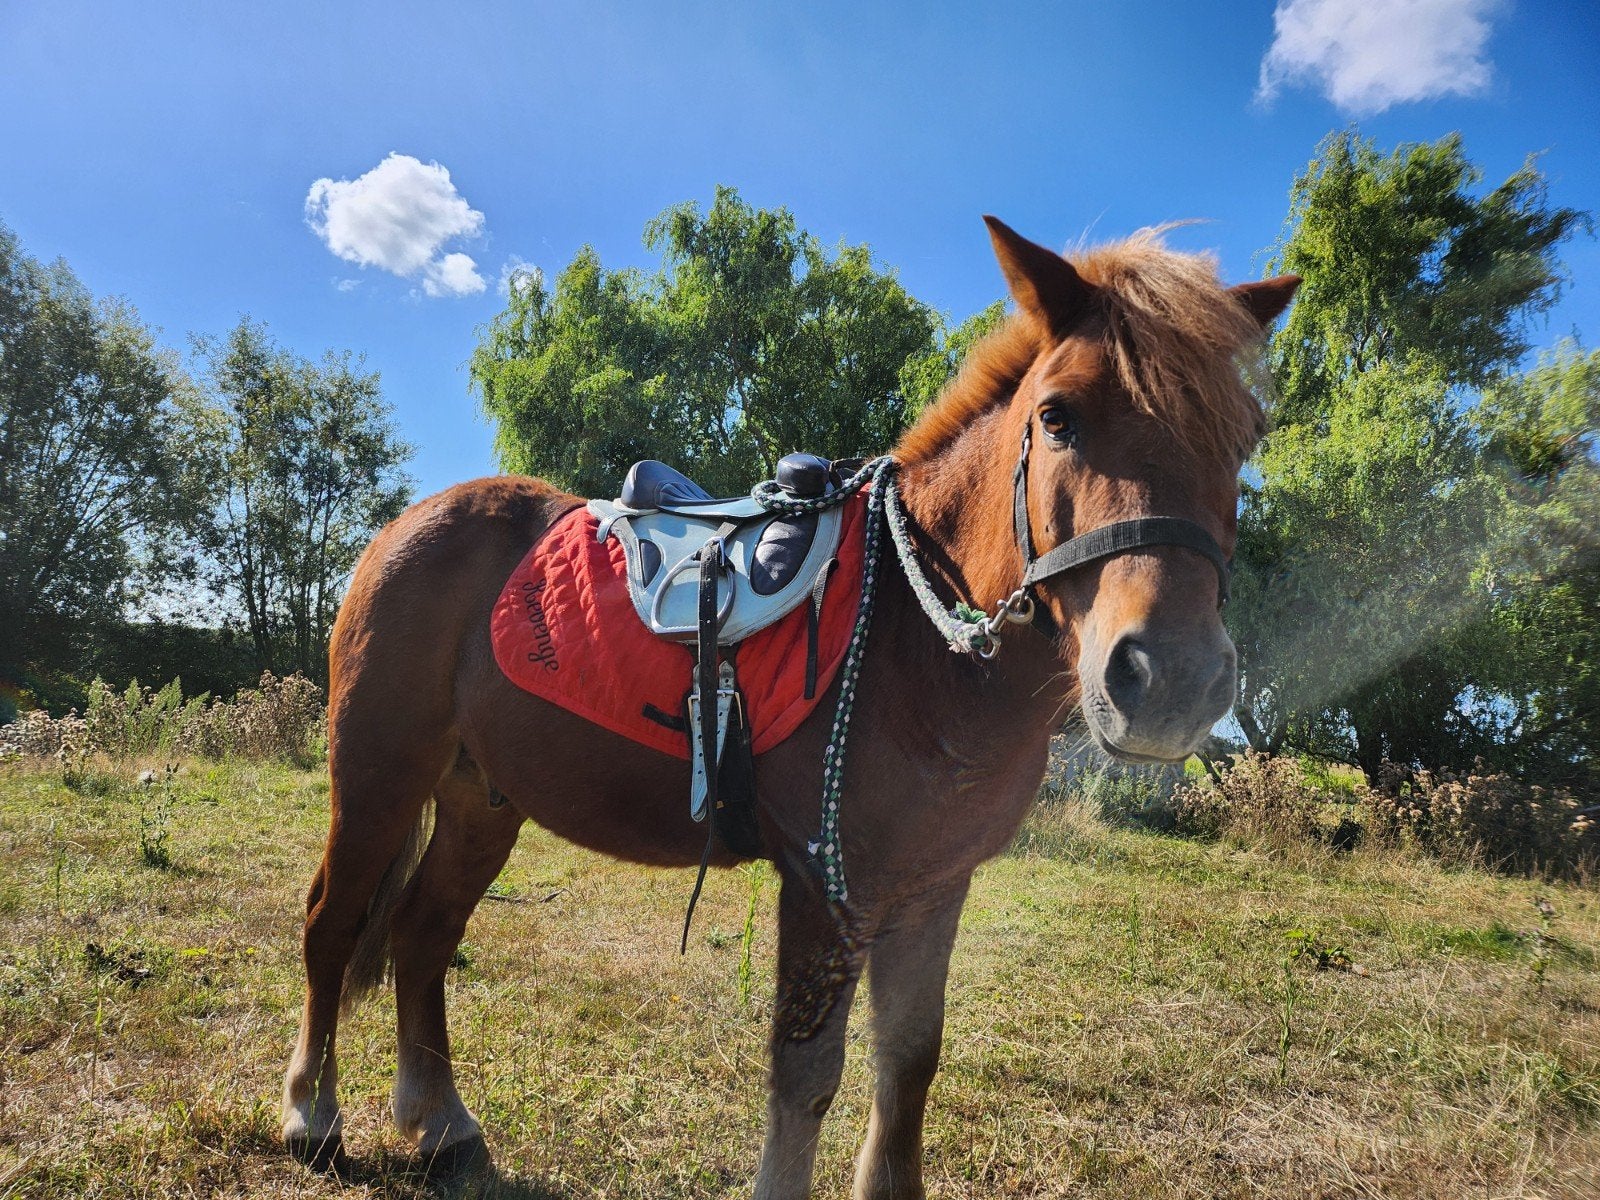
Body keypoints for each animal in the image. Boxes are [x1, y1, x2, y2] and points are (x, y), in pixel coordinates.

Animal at [279, 216, 1298, 1199]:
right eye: (1058, 416)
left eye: (1246, 437)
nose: (1170, 677)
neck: (918, 644)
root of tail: (409, 523)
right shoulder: (826, 888)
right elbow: (806, 1075)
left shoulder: (934, 888)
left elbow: (909, 1064)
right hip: (376, 777)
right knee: (333, 922)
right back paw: (313, 1118)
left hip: (481, 800)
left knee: (422, 936)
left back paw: (442, 1126)